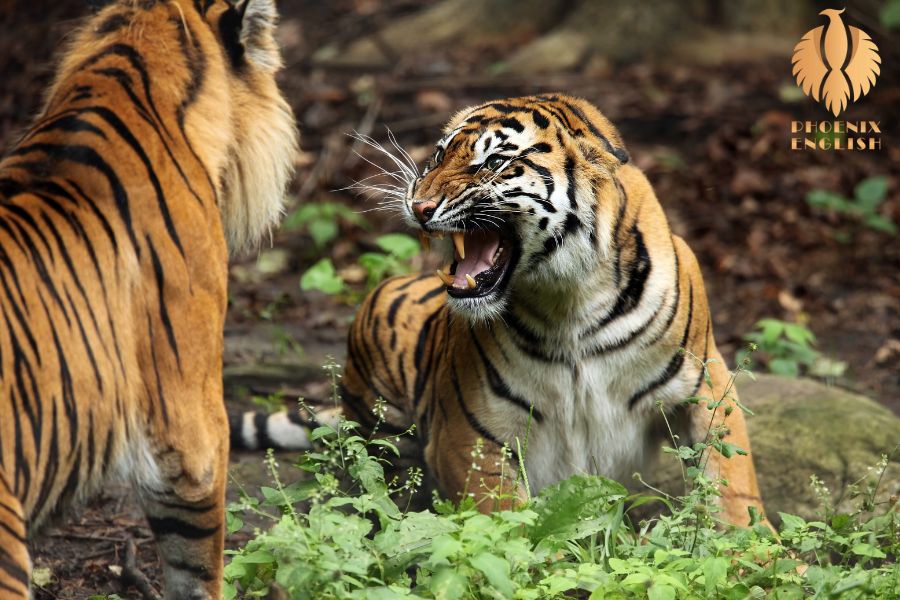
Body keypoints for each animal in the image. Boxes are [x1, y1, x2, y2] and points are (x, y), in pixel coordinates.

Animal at [338, 92, 768, 524]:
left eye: (494, 162)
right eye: (439, 156)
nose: (419, 206)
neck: (570, 298)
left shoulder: (706, 384)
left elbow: (731, 484)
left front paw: (751, 539)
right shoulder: (467, 434)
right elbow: (508, 523)